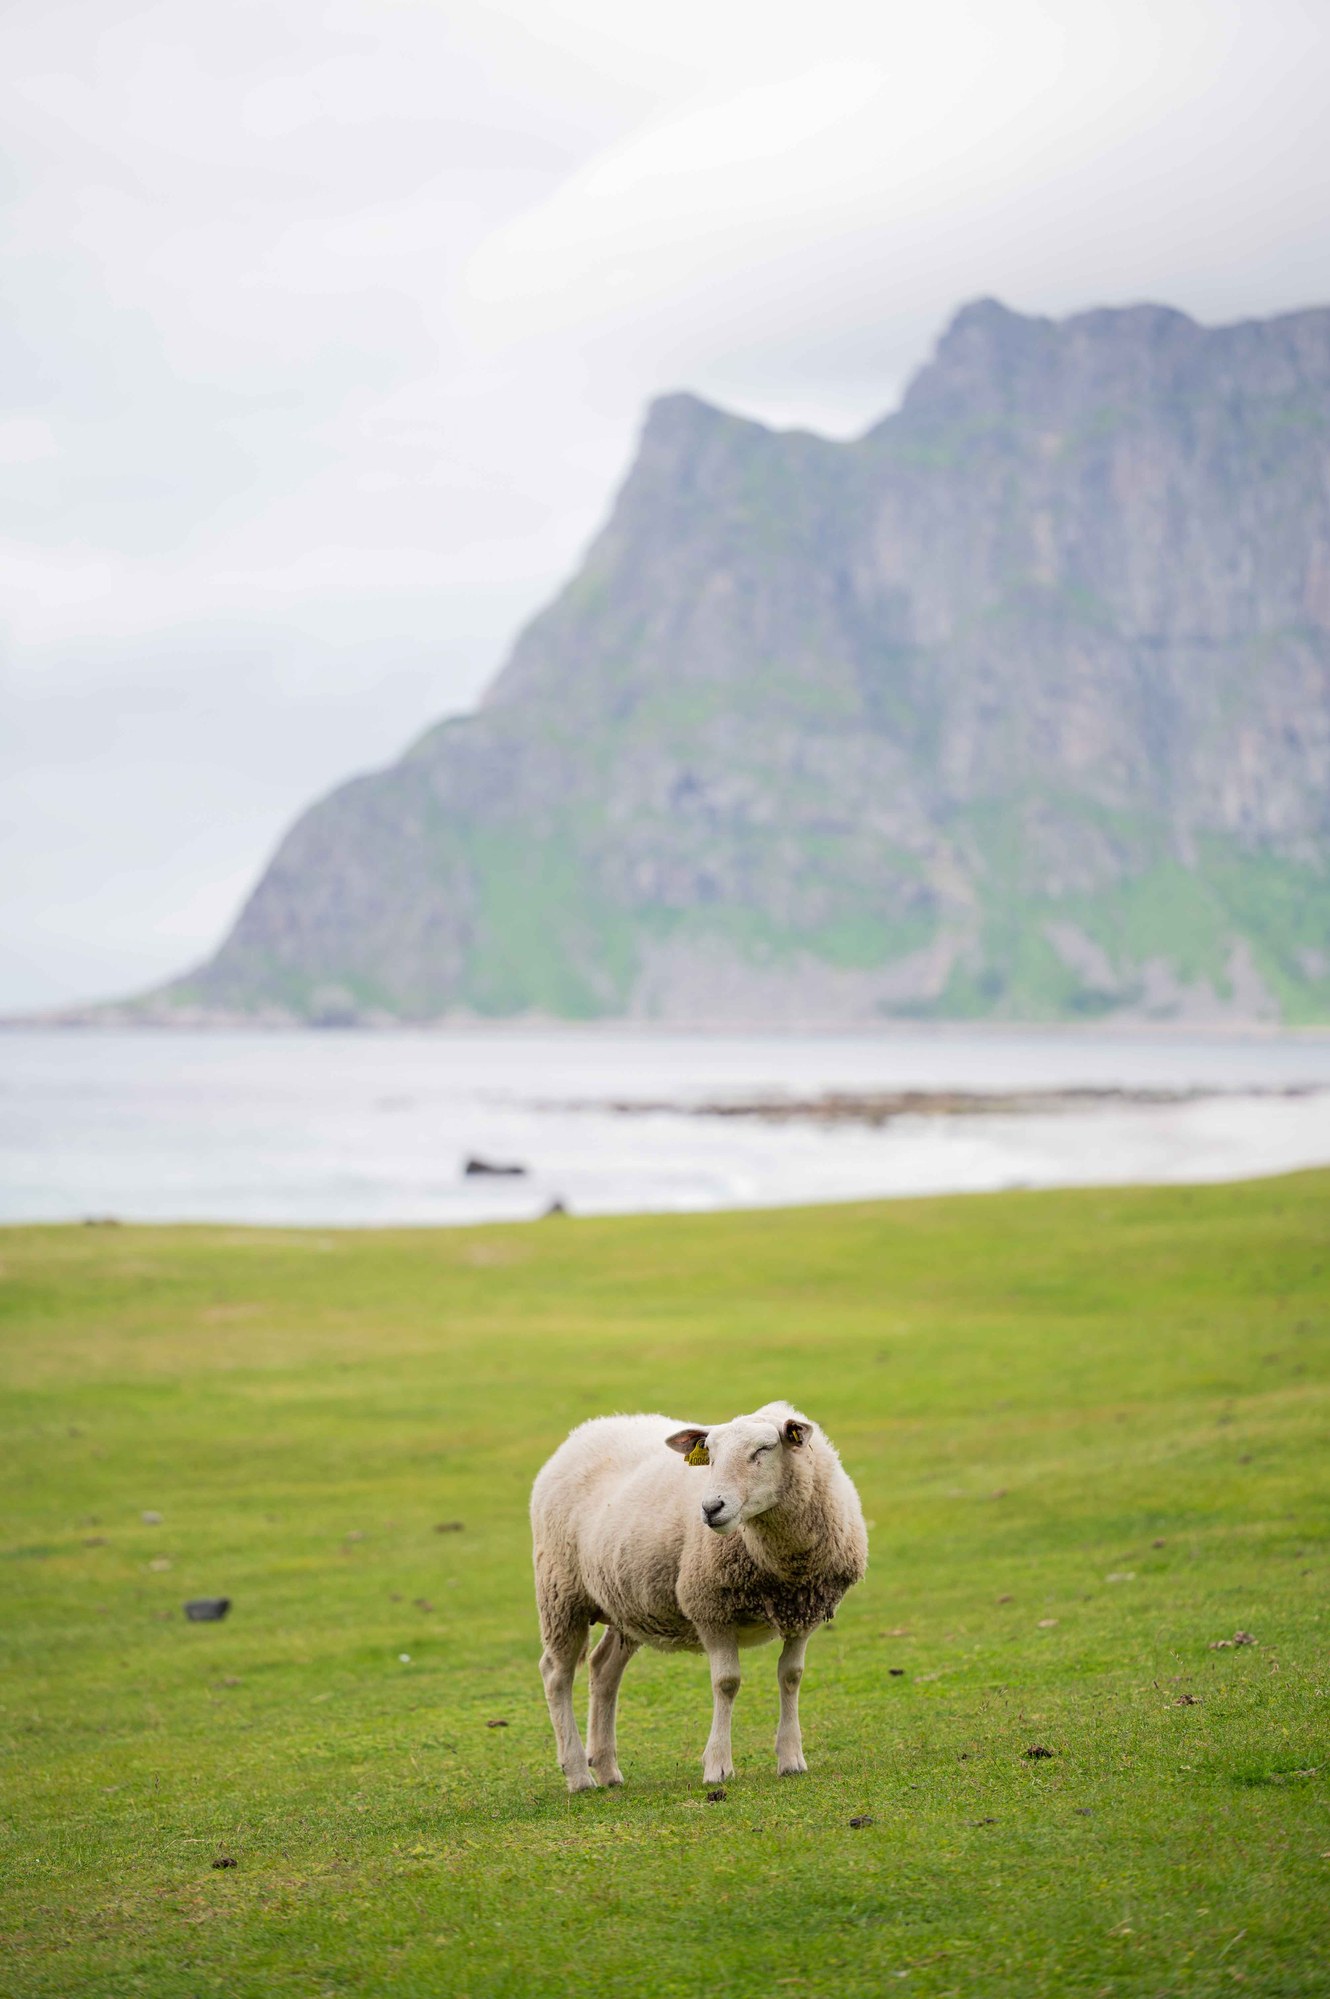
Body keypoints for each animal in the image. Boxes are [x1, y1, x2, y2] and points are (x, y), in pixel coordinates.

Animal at [530, 1401, 867, 1791]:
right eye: (711, 1454)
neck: (781, 1564)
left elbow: (791, 1676)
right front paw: (717, 1766)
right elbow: (726, 1683)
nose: (710, 1508)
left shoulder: (804, 1613)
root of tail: (586, 1429)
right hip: (560, 1591)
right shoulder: (710, 1609)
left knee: (603, 1669)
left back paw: (608, 1769)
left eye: (764, 1449)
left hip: (625, 1603)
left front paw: (791, 1759)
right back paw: (578, 1774)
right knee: (556, 1674)